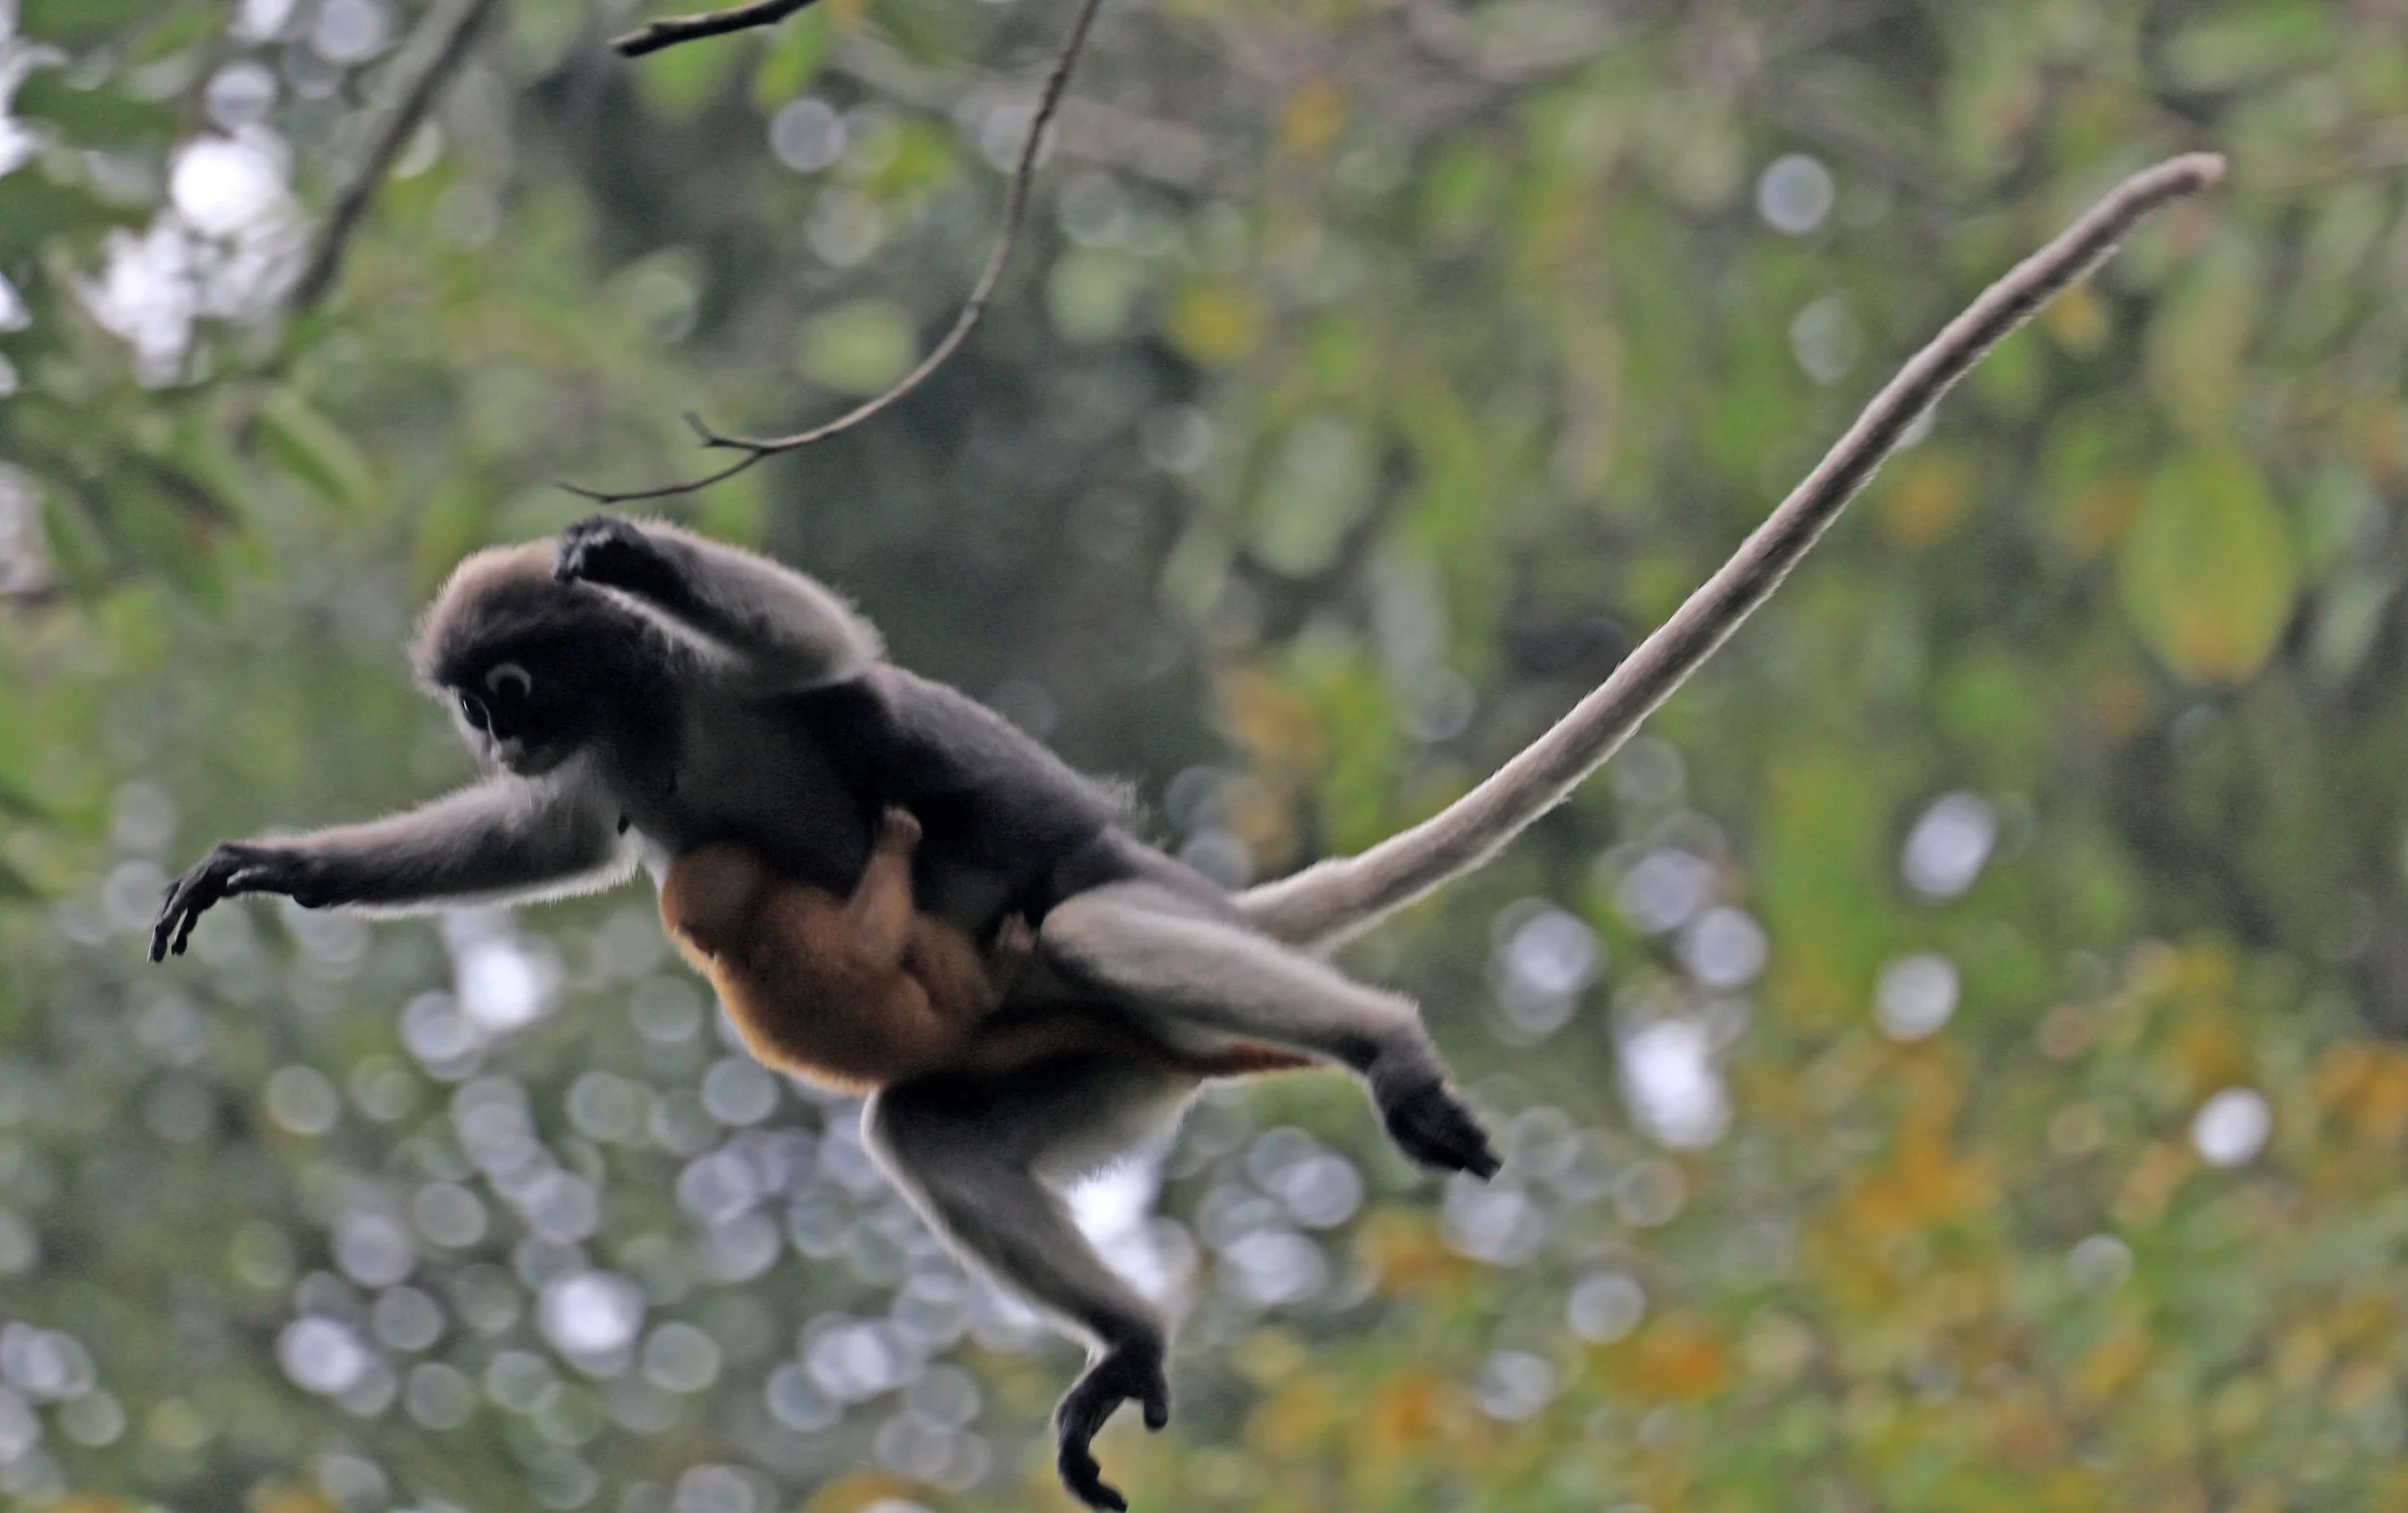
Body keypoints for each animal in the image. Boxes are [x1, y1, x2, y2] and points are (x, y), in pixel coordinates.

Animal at [145, 154, 2224, 1510]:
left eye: (505, 678)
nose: (490, 716)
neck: (655, 718)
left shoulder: (730, 695)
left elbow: (829, 656)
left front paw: (640, 547)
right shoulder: (617, 770)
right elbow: (553, 843)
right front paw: (288, 870)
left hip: (1095, 956)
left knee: (1076, 927)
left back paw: (1377, 1042)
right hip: (1082, 1062)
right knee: (933, 1132)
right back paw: (1133, 1339)